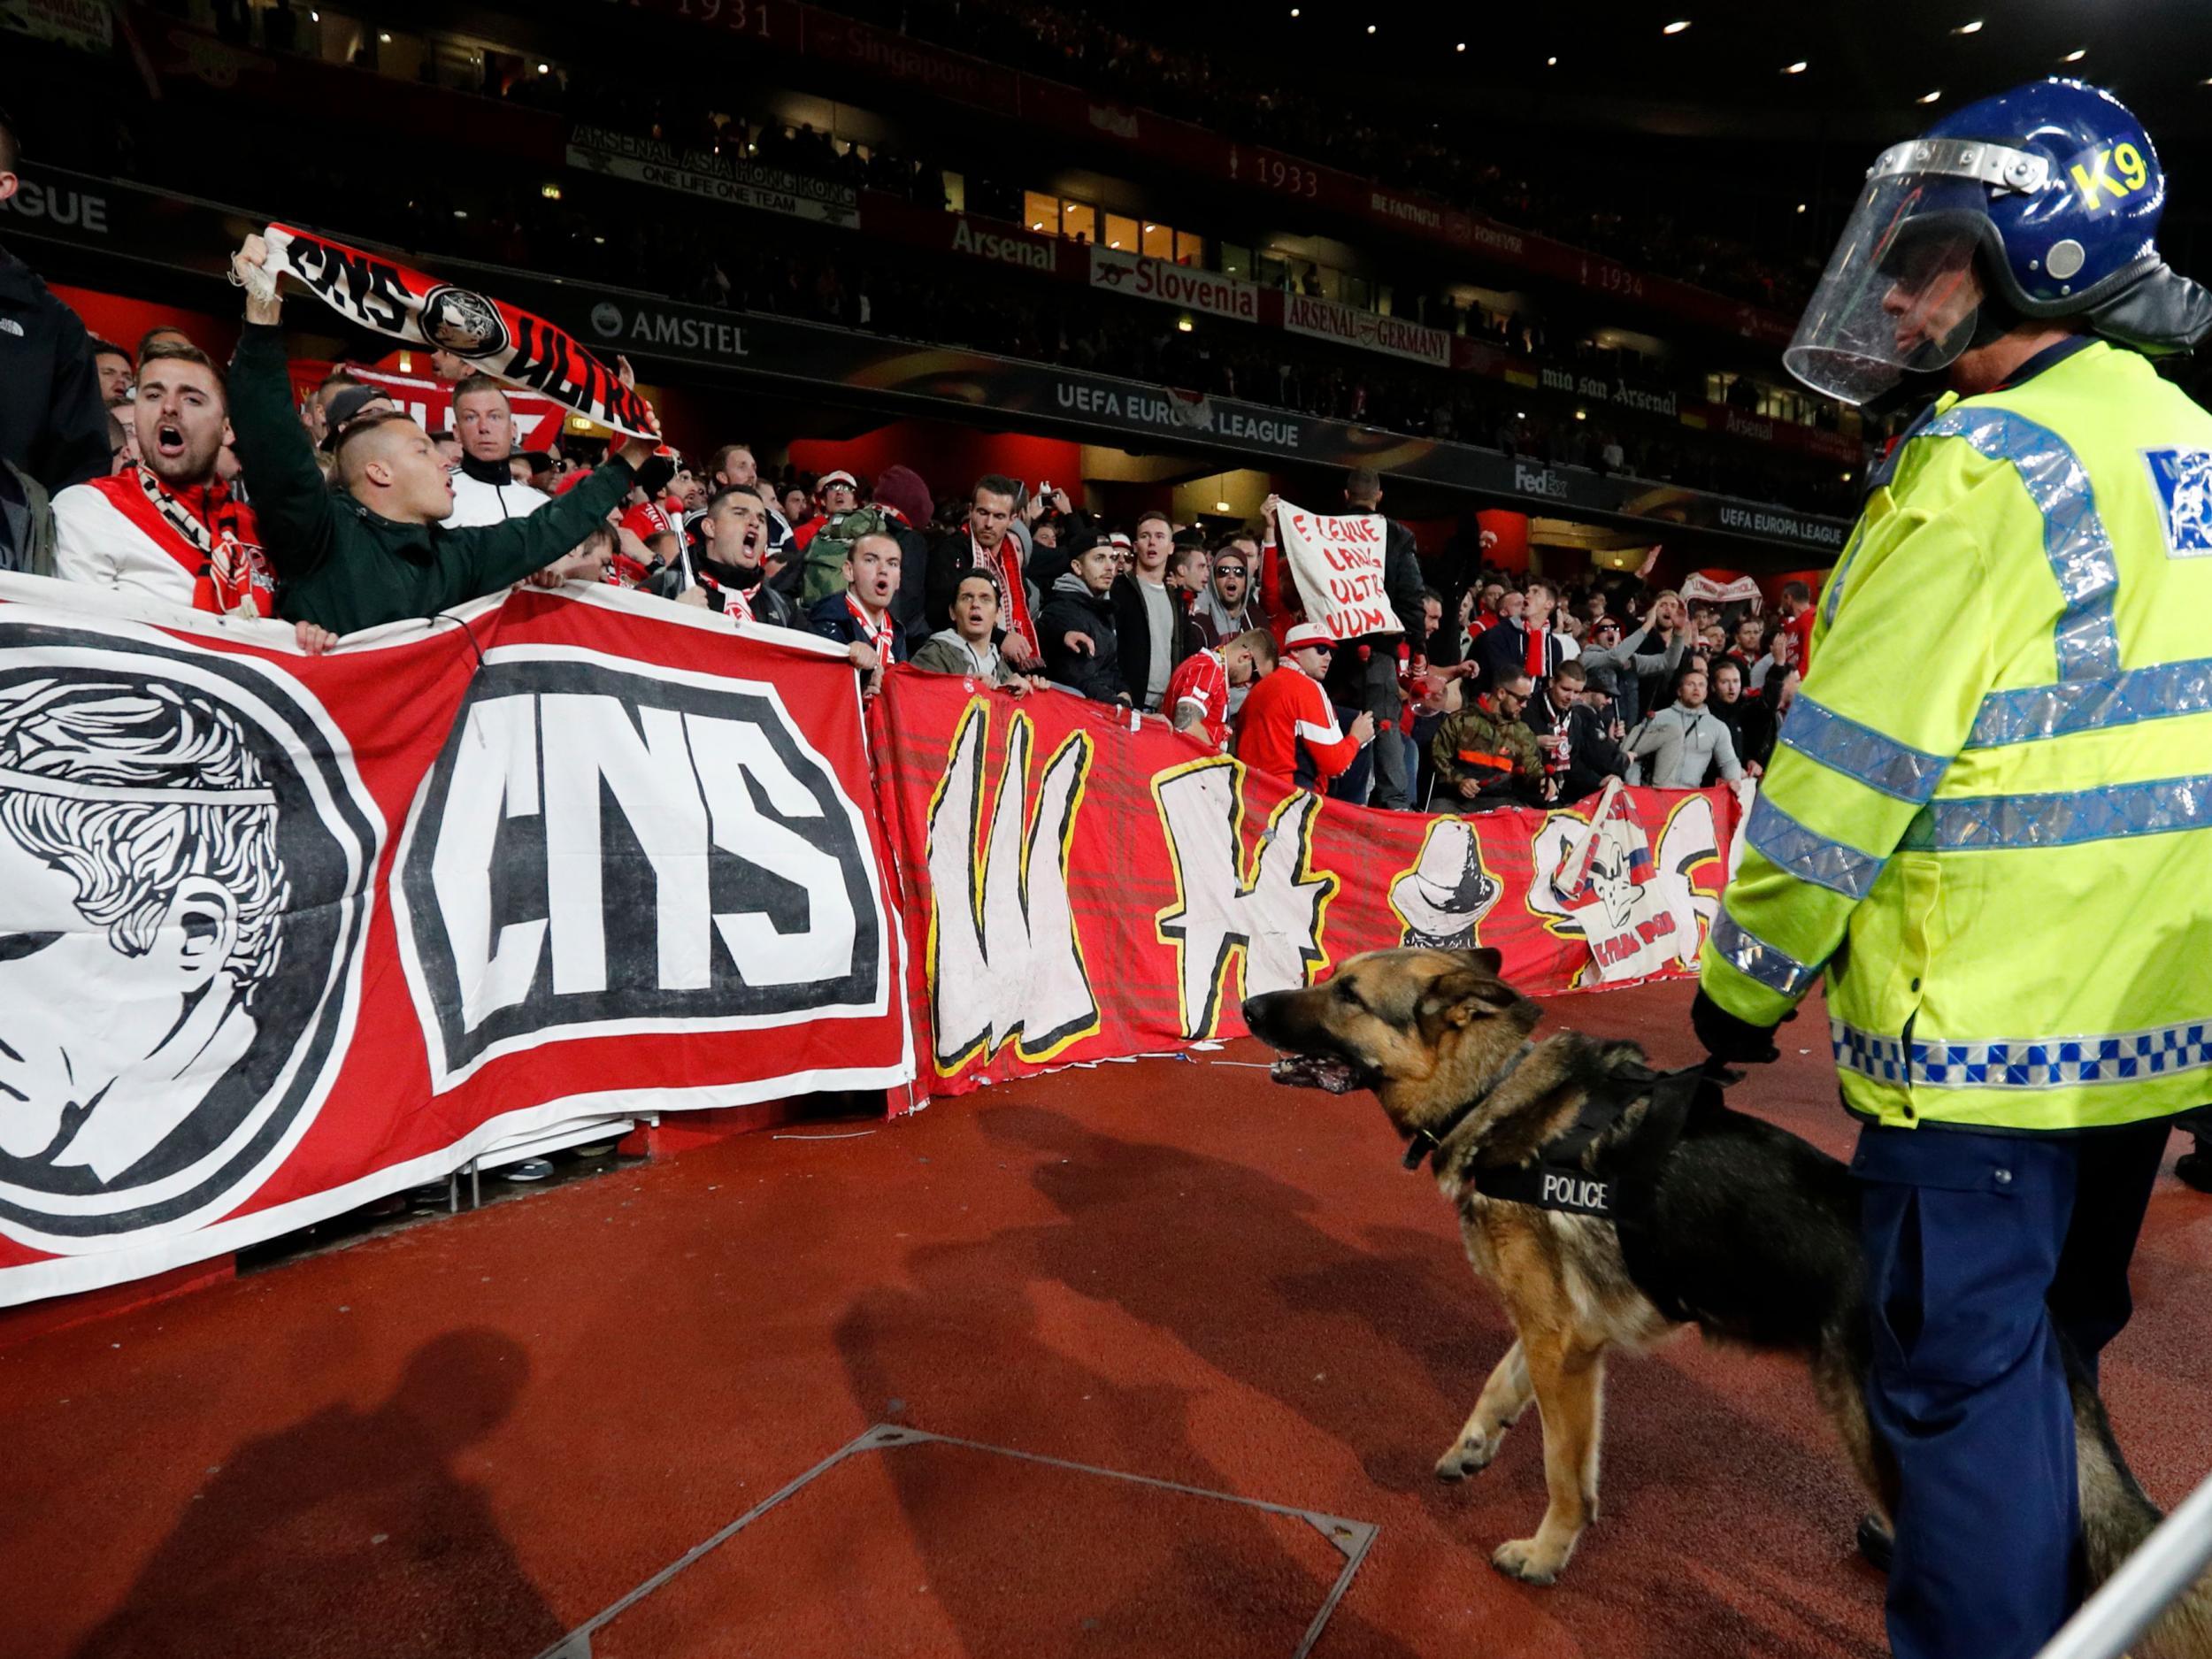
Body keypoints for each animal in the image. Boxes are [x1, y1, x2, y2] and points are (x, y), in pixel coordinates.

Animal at [1248, 947, 2212, 1655]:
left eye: (1346, 993)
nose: (1251, 1005)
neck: (1492, 1095)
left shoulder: (1565, 1349)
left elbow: (1566, 1470)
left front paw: (1547, 1551)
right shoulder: (1560, 1332)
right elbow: (1501, 1380)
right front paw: (1474, 1445)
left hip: (1883, 1438)